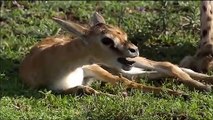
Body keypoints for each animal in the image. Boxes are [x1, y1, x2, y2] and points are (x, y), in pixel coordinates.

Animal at [19, 12, 184, 96]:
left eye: (123, 34)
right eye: (106, 40)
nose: (134, 49)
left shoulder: (92, 68)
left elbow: (123, 82)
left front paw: (181, 94)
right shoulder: (56, 88)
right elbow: (88, 90)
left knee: (165, 65)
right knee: (146, 73)